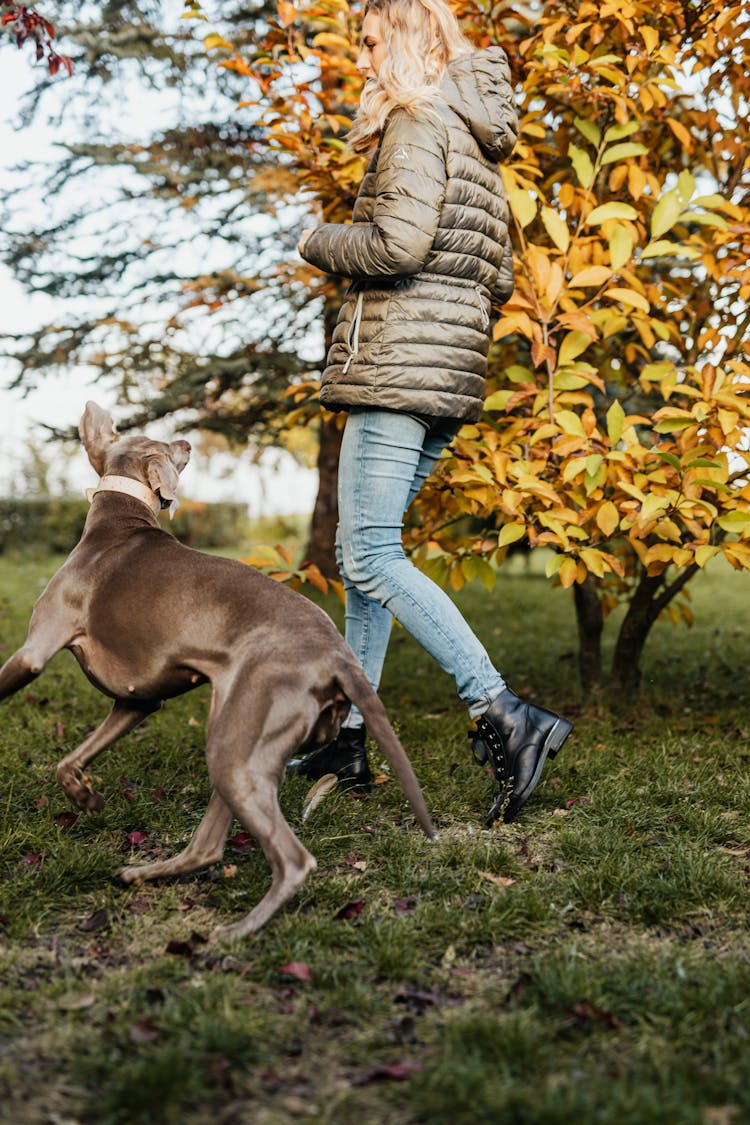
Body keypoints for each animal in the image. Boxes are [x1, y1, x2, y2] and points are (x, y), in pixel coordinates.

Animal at [0, 402, 436, 940]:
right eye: (165, 444)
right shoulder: (137, 700)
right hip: (240, 741)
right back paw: (143, 874)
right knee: (208, 846)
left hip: (237, 741)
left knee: (294, 860)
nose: (187, 441)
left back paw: (236, 932)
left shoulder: (34, 651)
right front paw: (85, 799)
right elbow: (70, 760)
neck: (118, 520)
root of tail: (336, 654)